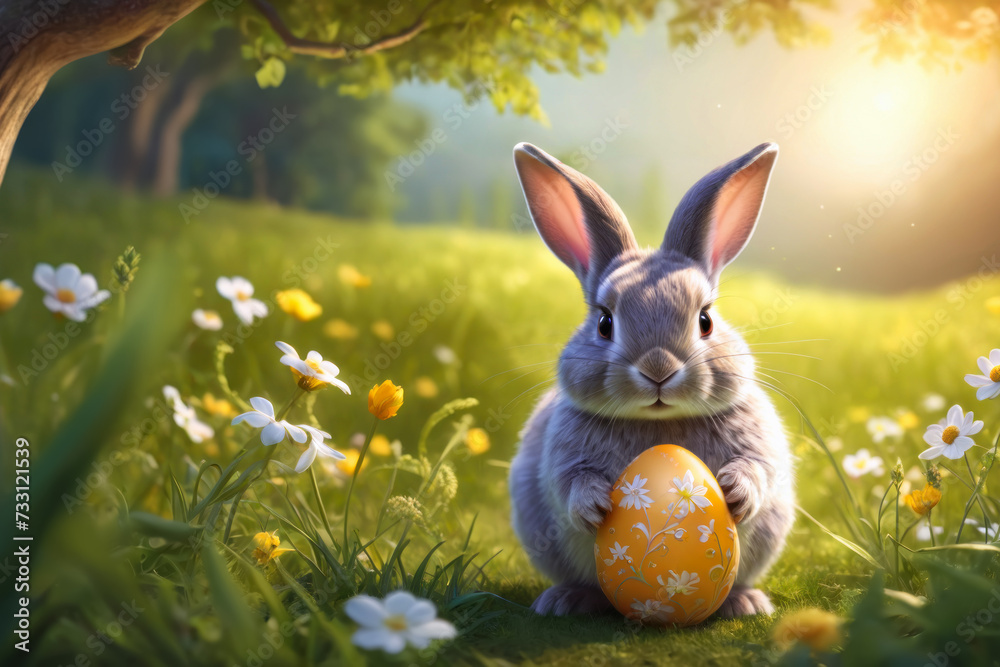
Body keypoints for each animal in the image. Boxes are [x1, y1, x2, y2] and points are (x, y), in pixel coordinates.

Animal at [507, 141, 795, 618]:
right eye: (605, 323)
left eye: (705, 320)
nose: (658, 369)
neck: (659, 423)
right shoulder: (561, 456)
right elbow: (569, 483)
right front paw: (595, 505)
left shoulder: (758, 440)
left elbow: (758, 466)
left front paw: (736, 492)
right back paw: (566, 600)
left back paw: (745, 603)